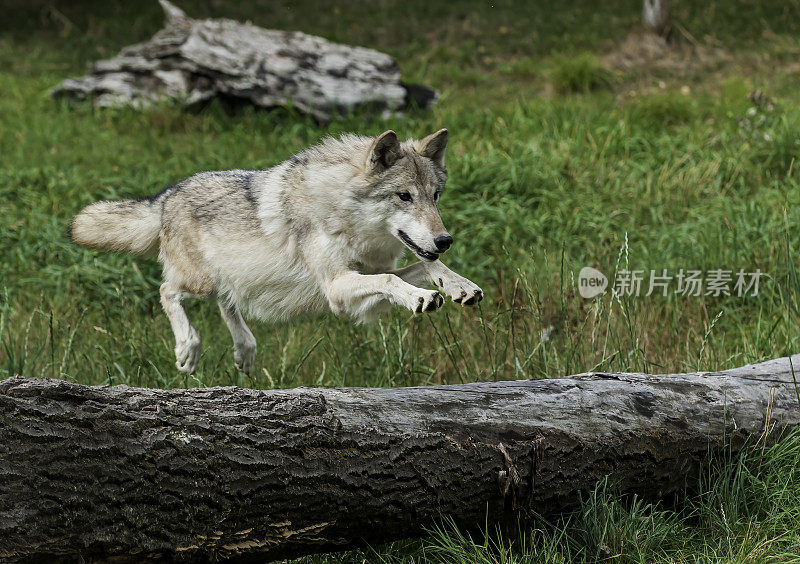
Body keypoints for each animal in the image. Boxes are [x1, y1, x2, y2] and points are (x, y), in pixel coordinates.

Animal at [70, 129, 482, 374]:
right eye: (404, 196)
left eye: (436, 196)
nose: (445, 239)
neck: (342, 213)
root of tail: (166, 195)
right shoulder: (337, 287)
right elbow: (394, 280)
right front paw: (421, 298)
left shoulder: (366, 281)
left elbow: (425, 267)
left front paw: (459, 286)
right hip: (198, 282)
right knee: (167, 291)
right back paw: (188, 349)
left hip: (227, 279)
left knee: (227, 304)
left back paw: (245, 351)